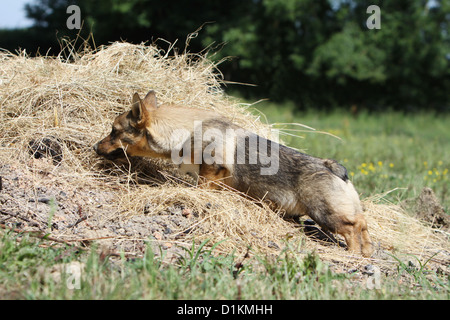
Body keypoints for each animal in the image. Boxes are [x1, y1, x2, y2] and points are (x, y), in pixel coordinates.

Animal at [92, 90, 372, 258]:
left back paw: (354, 253)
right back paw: (367, 252)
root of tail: (329, 166)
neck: (184, 133)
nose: (94, 147)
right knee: (363, 223)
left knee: (353, 227)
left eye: (114, 131)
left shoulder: (210, 173)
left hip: (324, 214)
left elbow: (202, 187)